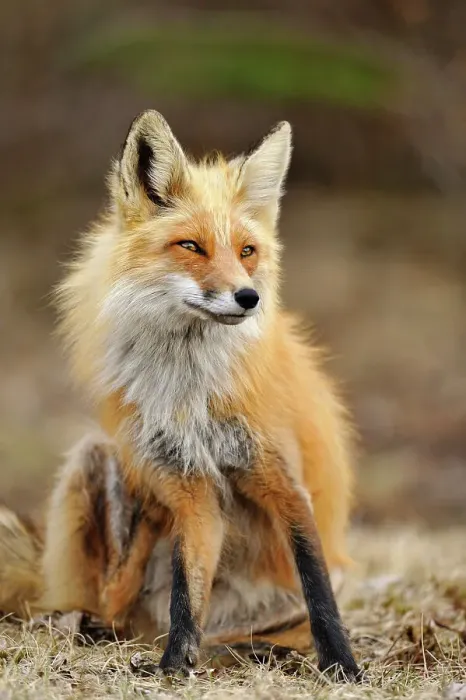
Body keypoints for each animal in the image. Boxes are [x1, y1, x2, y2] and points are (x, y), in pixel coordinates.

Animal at [0, 111, 360, 680]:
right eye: (191, 246)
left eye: (247, 251)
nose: (248, 297)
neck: (188, 391)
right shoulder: (192, 492)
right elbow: (186, 594)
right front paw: (173, 667)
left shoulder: (284, 482)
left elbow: (318, 589)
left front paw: (343, 666)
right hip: (95, 456)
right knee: (108, 600)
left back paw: (259, 650)